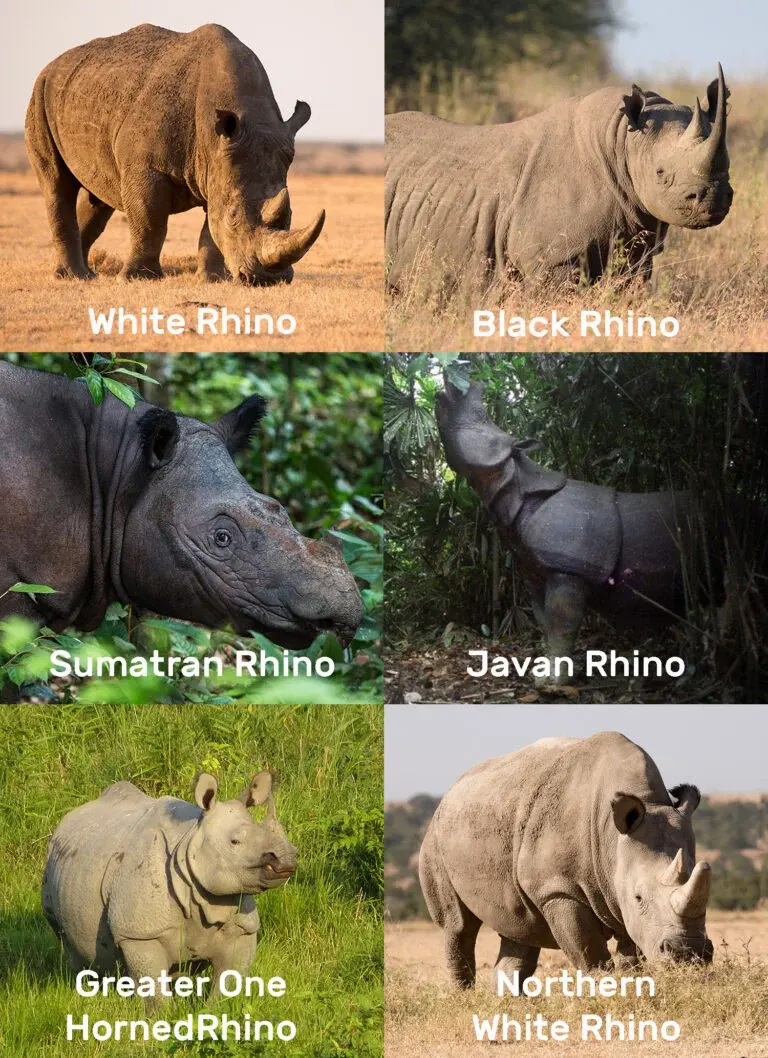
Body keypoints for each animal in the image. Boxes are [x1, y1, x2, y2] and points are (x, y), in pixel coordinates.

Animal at [25, 23, 325, 285]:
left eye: (291, 214)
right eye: (234, 216)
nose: (269, 279)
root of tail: (53, 64)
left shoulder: (217, 165)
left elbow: (210, 229)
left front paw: (211, 280)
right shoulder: (148, 168)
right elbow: (150, 221)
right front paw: (137, 279)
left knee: (98, 196)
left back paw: (87, 275)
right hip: (40, 93)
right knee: (57, 185)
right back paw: (71, 276)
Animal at [42, 771, 296, 993]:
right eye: (235, 842)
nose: (287, 859)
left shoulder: (243, 927)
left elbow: (228, 984)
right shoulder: (140, 933)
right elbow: (154, 991)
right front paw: (158, 1018)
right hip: (54, 863)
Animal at [386, 67, 732, 290]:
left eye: (728, 166)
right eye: (661, 174)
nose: (712, 198)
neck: (622, 141)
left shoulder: (637, 247)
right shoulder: (551, 258)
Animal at [420, 732, 713, 989]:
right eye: (638, 897)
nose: (690, 954)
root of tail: (449, 792)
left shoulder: (618, 892)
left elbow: (632, 956)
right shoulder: (557, 889)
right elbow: (590, 954)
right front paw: (605, 994)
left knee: (520, 928)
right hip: (435, 837)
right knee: (459, 926)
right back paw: (463, 997)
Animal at [436, 381, 698, 668]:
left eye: (481, 416)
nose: (443, 390)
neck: (515, 483)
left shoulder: (569, 566)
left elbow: (562, 627)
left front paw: (556, 678)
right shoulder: (535, 569)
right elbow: (545, 623)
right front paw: (544, 674)